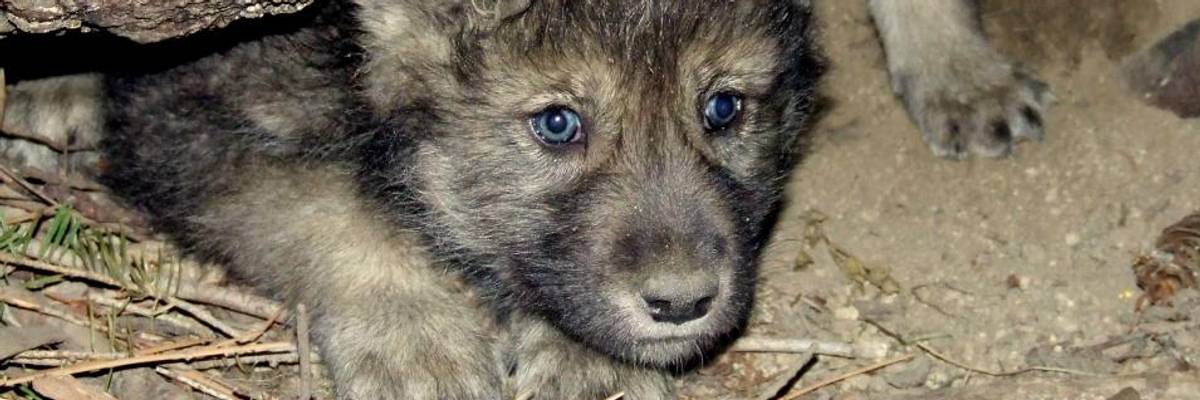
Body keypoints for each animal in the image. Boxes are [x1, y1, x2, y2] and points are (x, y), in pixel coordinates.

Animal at [0, 0, 1049, 398]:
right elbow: (336, 209)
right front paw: (420, 338)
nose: (684, 303)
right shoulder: (193, 106)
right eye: (557, 125)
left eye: (722, 108)